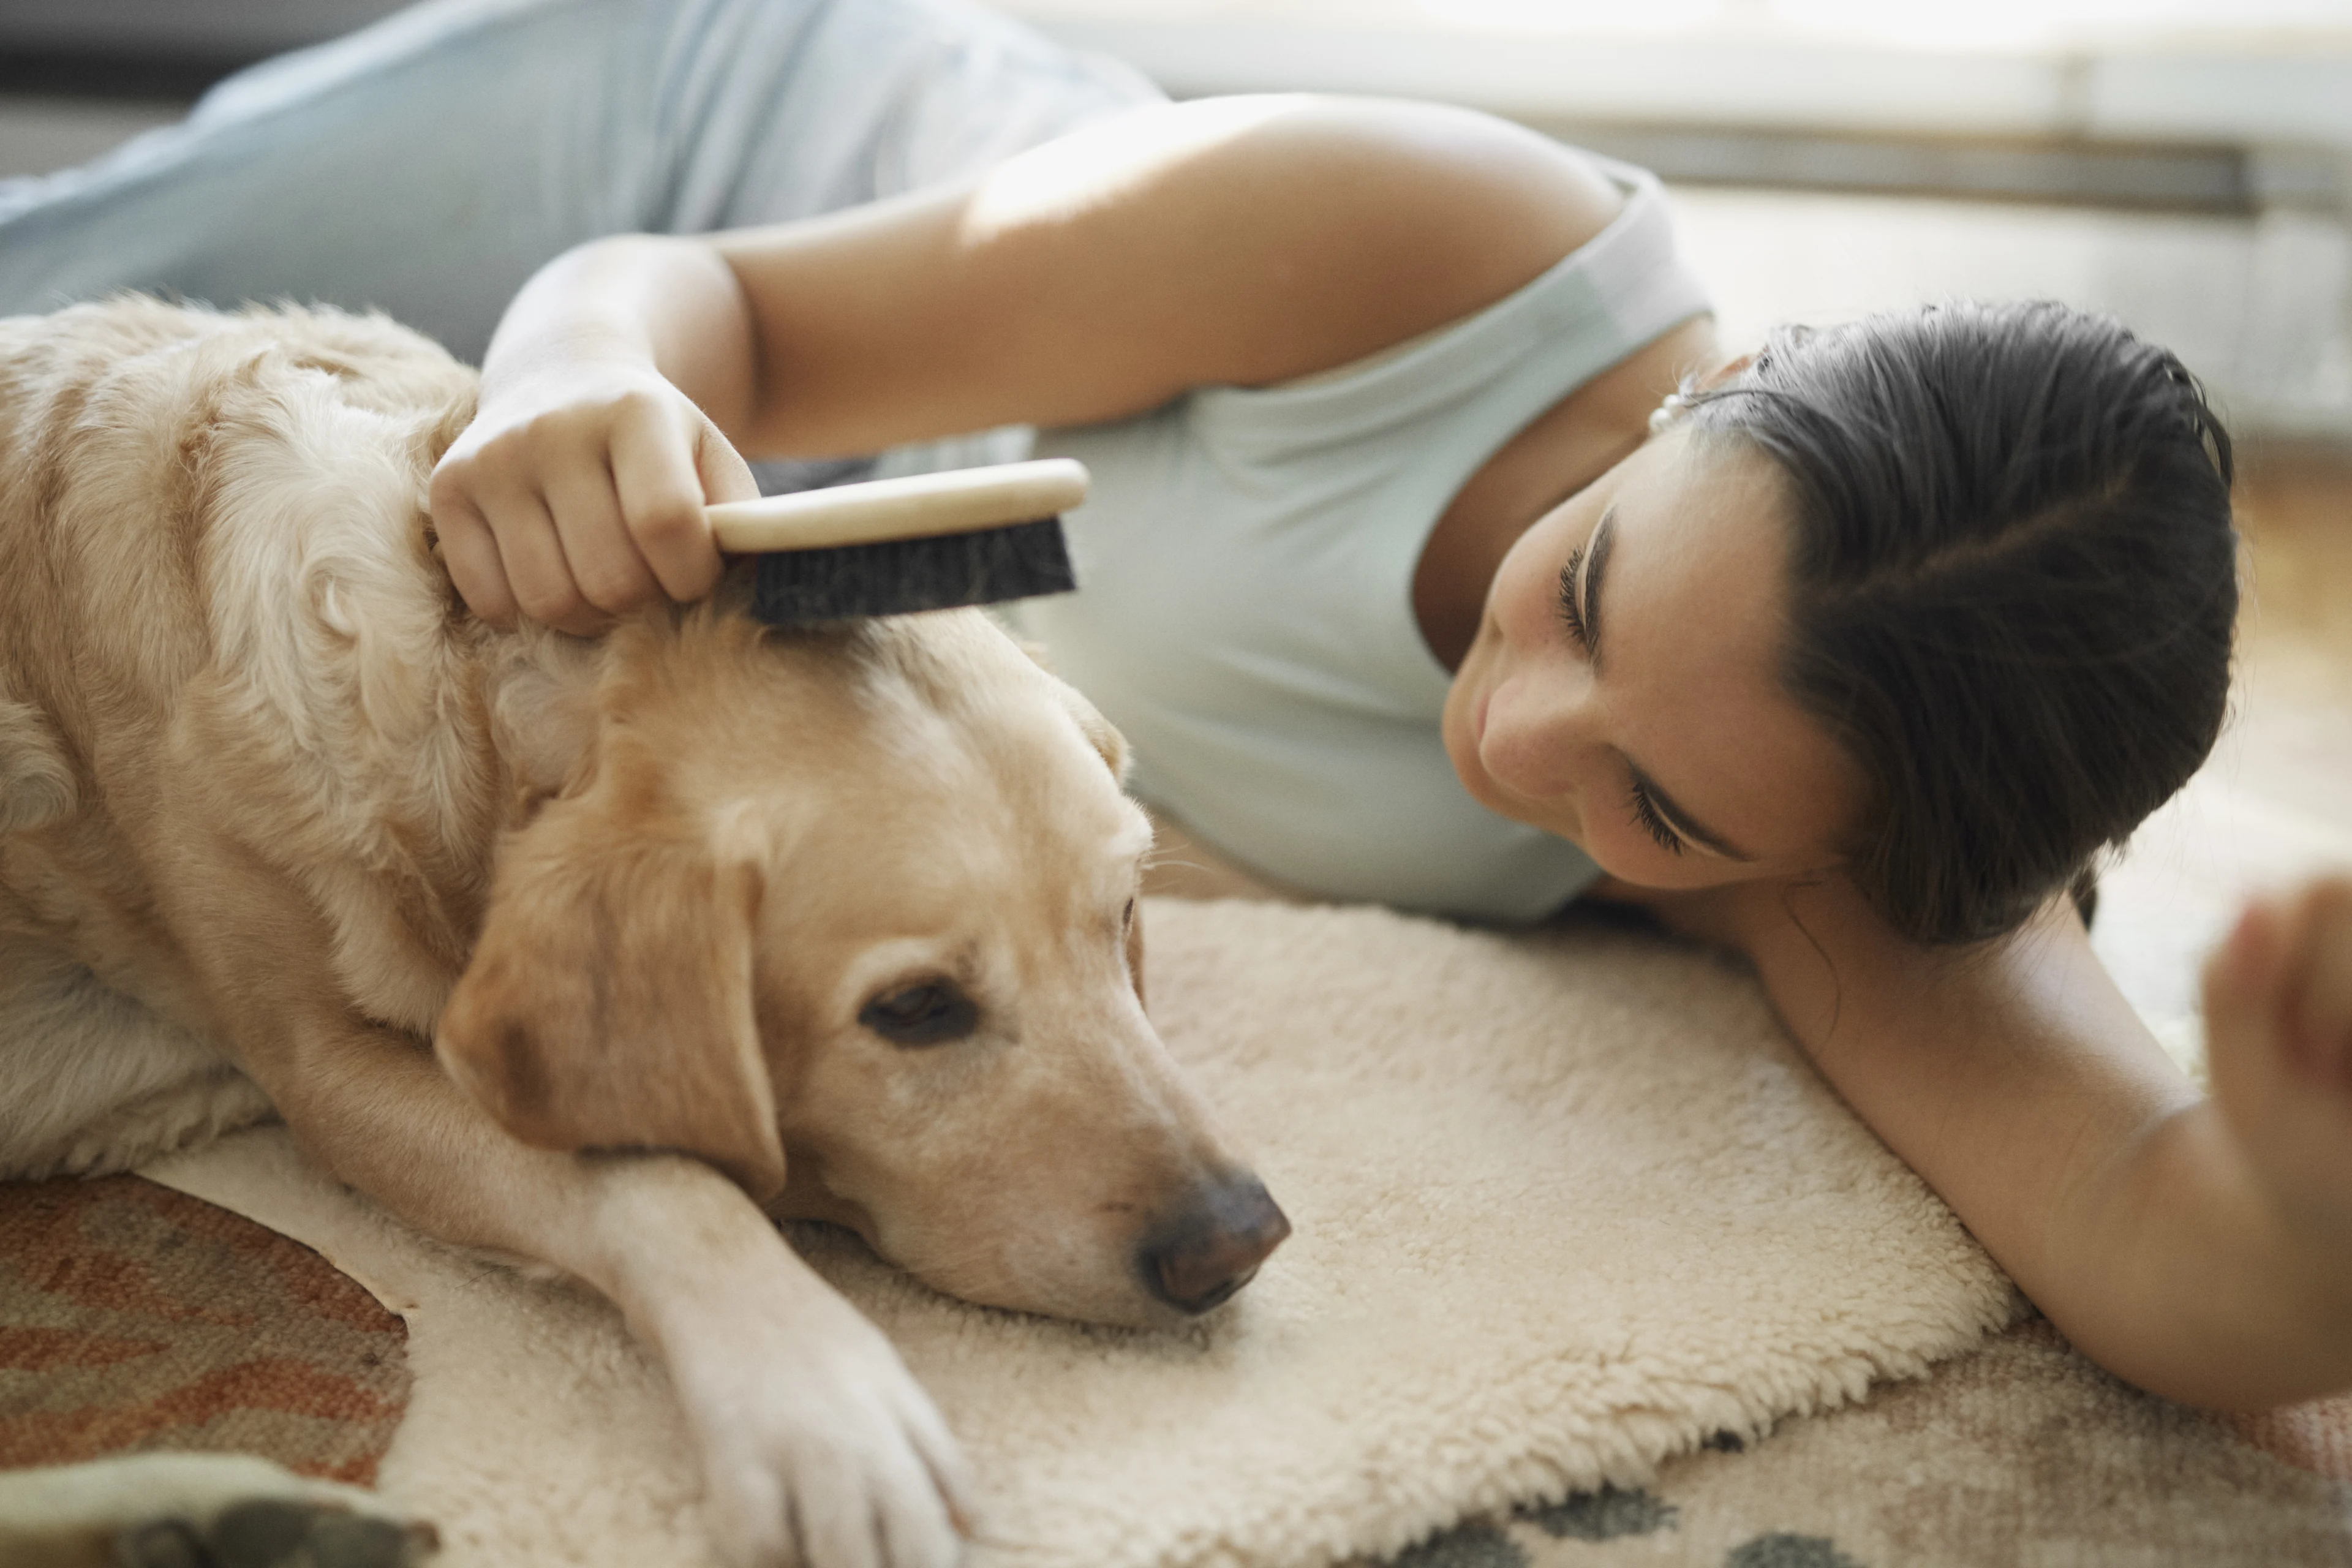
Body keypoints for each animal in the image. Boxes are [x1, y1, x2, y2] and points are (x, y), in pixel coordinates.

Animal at [0, 297, 1289, 1568]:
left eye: (1122, 915)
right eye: (917, 1010)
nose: (1241, 1241)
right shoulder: (326, 1073)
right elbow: (661, 1182)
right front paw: (824, 1406)